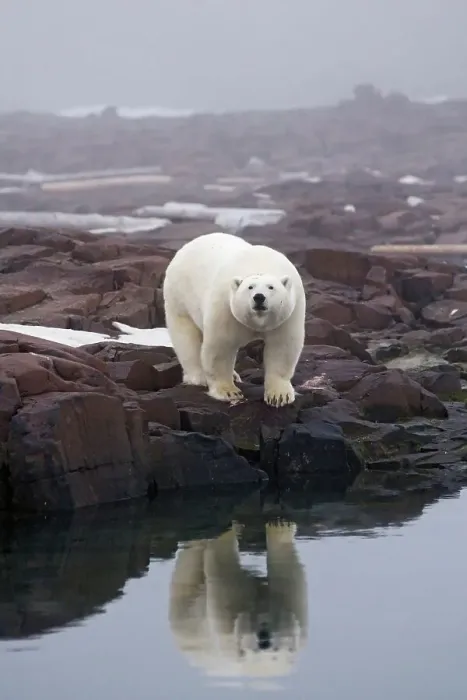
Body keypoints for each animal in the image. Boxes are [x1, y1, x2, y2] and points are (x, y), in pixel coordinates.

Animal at [163, 232, 306, 407]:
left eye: (271, 287)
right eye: (250, 287)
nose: (259, 297)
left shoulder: (289, 314)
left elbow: (282, 347)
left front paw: (279, 396)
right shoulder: (225, 308)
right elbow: (220, 348)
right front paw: (229, 392)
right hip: (179, 297)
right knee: (186, 338)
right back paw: (200, 376)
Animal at [169, 521, 308, 680]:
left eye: (276, 652)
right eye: (254, 650)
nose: (264, 640)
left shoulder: (299, 624)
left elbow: (289, 581)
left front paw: (279, 527)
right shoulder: (227, 629)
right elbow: (225, 571)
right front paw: (229, 531)